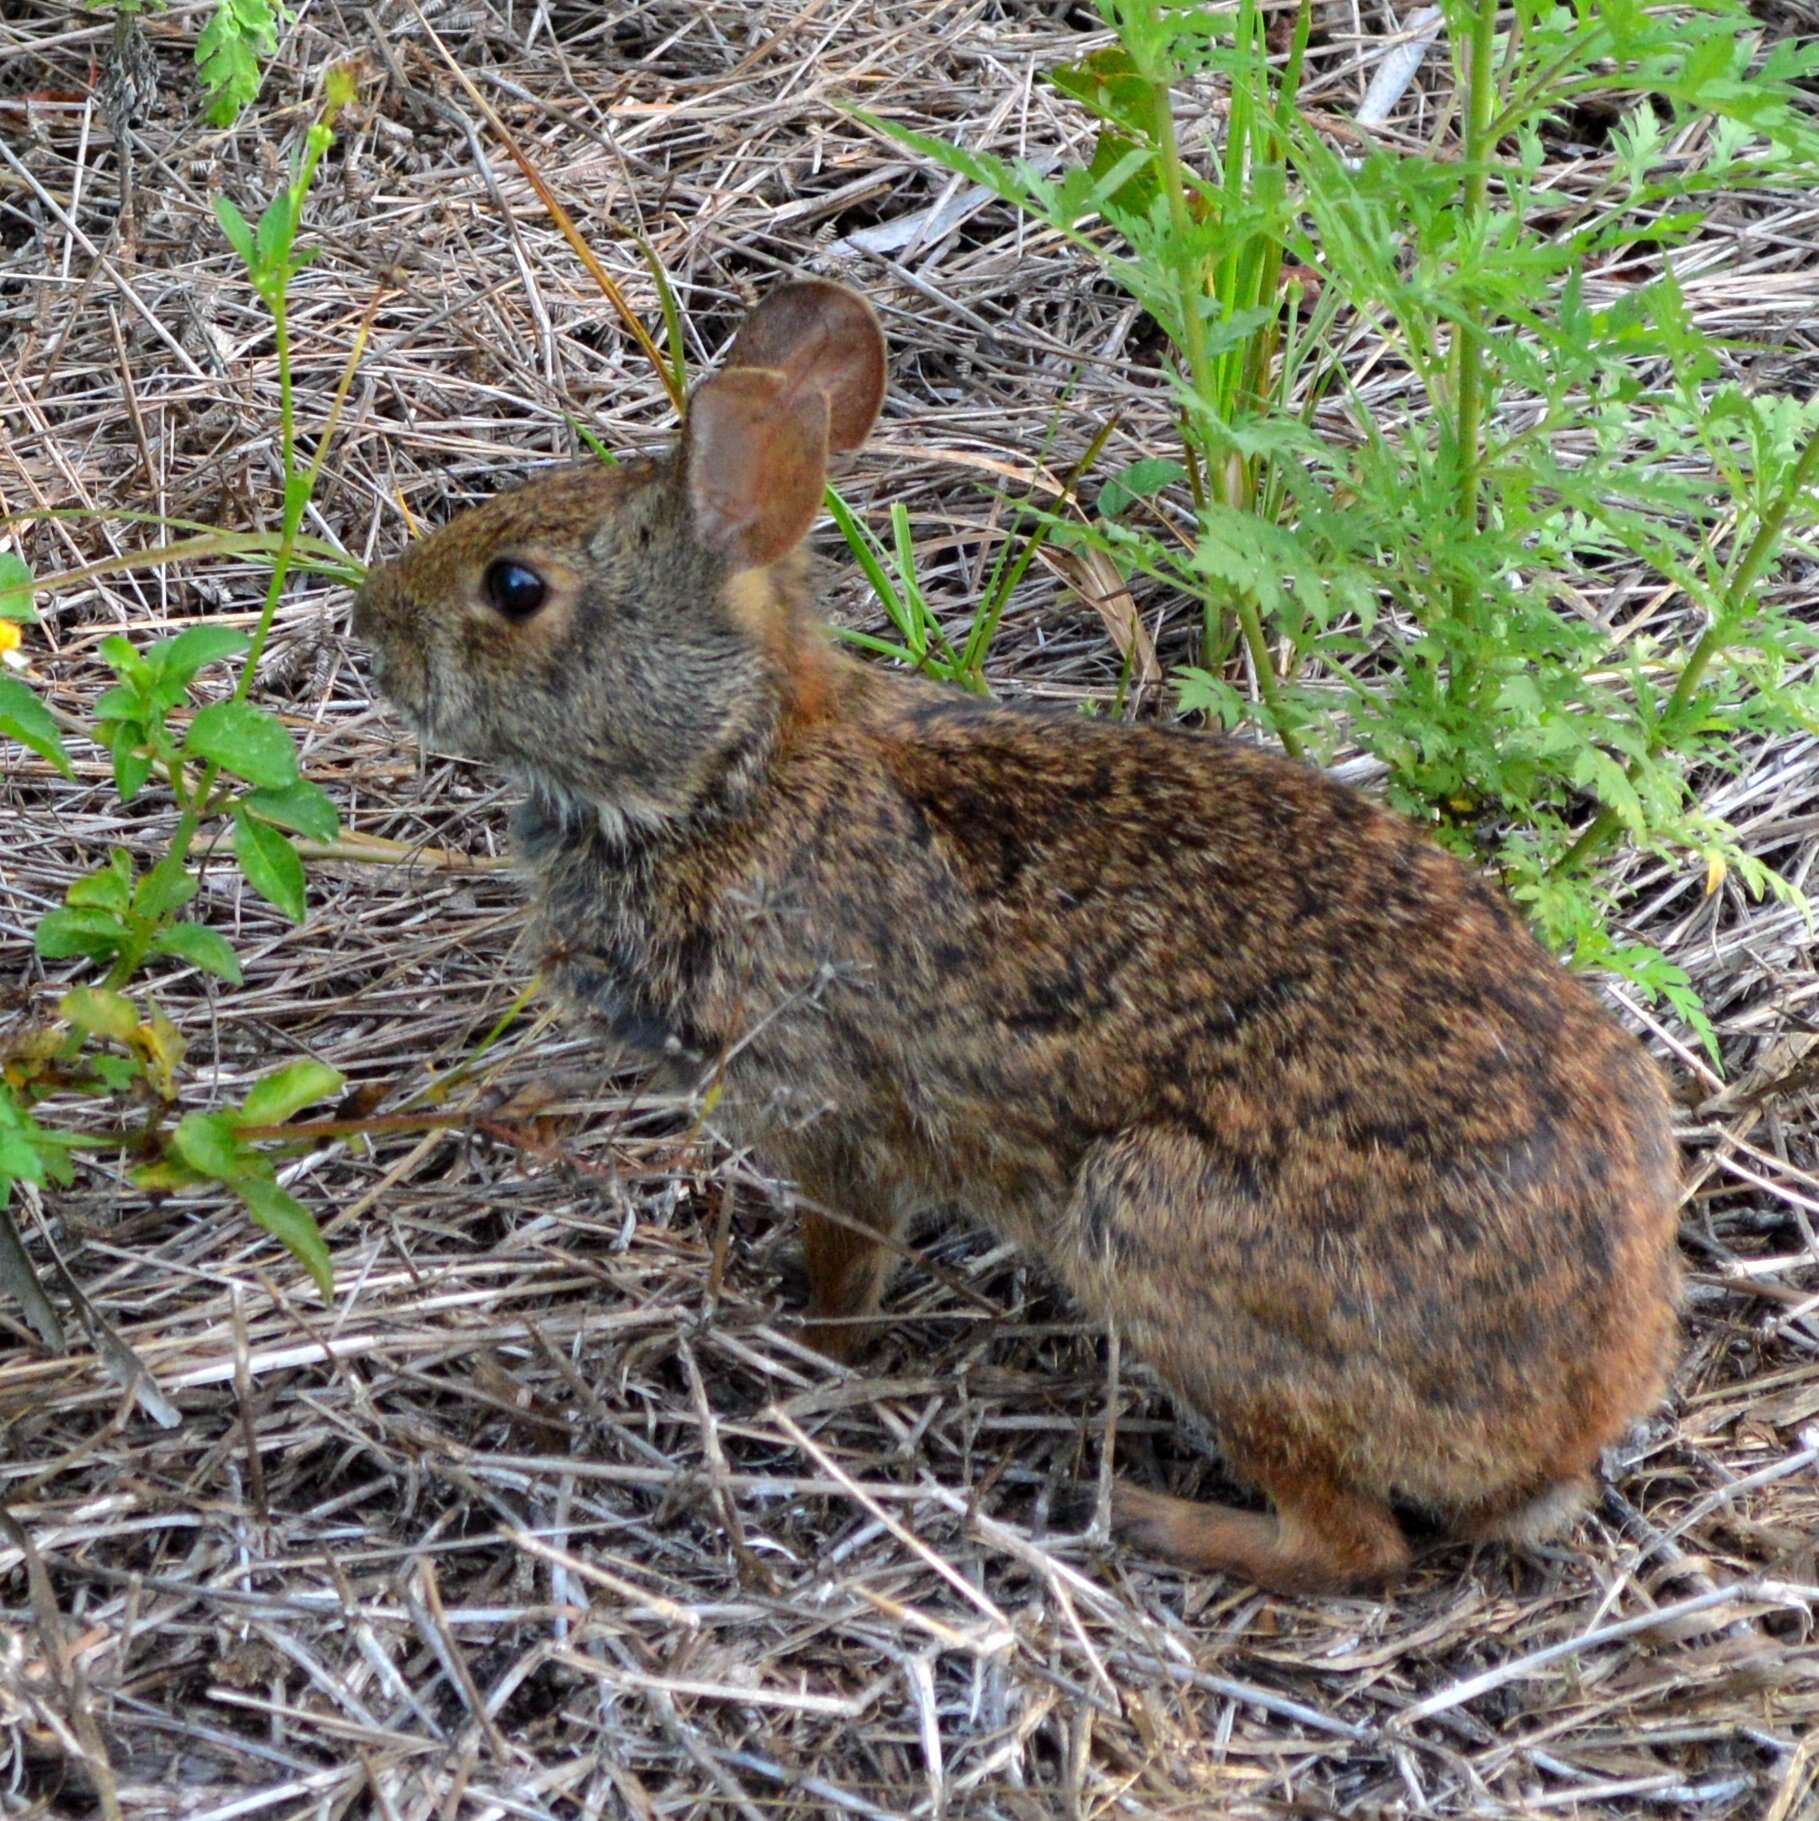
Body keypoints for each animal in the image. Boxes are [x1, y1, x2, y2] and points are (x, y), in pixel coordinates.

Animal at [358, 276, 1689, 1587]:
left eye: (516, 588)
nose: (372, 631)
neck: (729, 776)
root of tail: (1561, 1425)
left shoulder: (826, 1109)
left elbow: (845, 1263)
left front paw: (803, 1347)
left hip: (1160, 1238)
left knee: (1354, 1545)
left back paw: (1153, 1519)